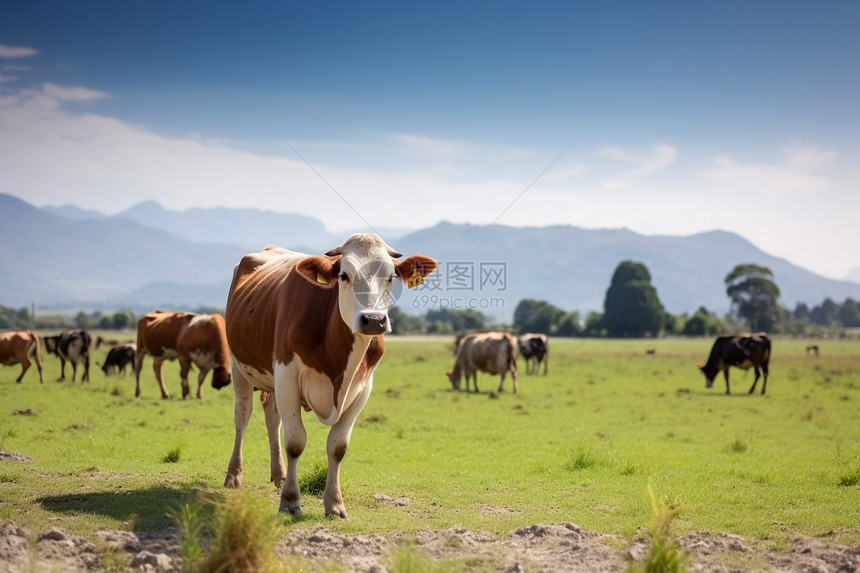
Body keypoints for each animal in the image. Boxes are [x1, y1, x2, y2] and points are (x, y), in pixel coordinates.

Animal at [222, 235, 436, 516]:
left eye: (391, 276)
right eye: (344, 275)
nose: (373, 319)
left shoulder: (363, 387)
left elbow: (337, 446)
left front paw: (334, 504)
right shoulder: (287, 375)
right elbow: (295, 442)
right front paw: (290, 501)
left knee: (272, 416)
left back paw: (278, 474)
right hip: (240, 368)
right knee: (242, 416)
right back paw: (234, 476)